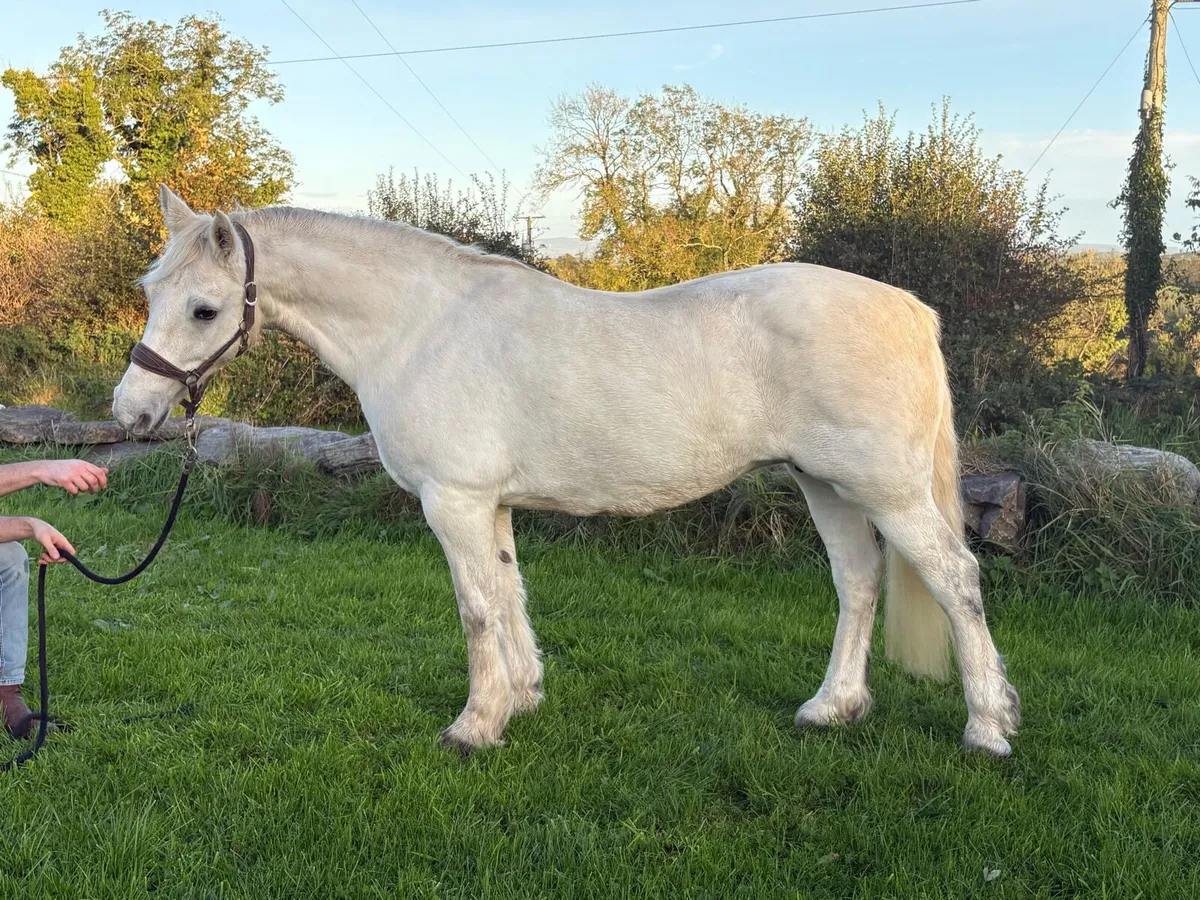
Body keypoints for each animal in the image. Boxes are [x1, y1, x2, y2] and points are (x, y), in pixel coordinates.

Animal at [113, 186, 1021, 756]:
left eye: (204, 309)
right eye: (150, 292)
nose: (131, 413)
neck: (419, 327)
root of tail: (908, 307)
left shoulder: (454, 502)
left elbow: (477, 608)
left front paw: (474, 727)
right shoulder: (491, 504)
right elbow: (510, 592)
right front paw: (521, 698)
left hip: (885, 490)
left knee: (955, 579)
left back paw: (988, 729)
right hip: (823, 484)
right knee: (860, 581)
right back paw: (832, 709)